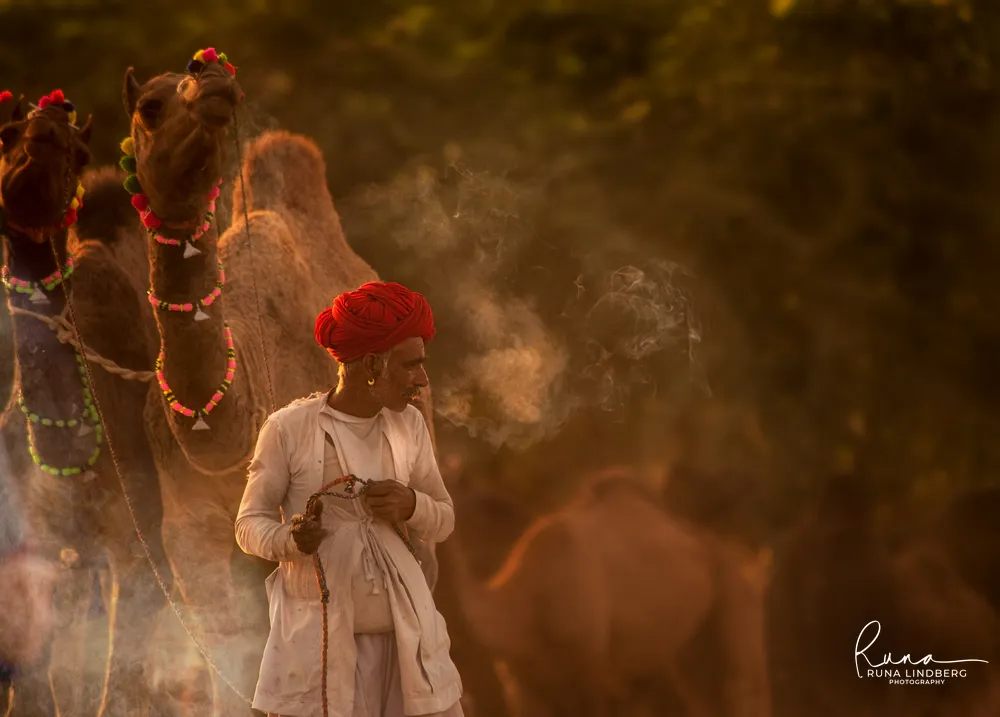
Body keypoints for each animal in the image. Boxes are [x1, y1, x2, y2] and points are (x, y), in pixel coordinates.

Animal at [0, 91, 173, 716]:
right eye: (5, 134)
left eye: (77, 152)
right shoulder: (35, 556)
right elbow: (38, 692)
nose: (26, 179)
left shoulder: (138, 547)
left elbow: (120, 687)